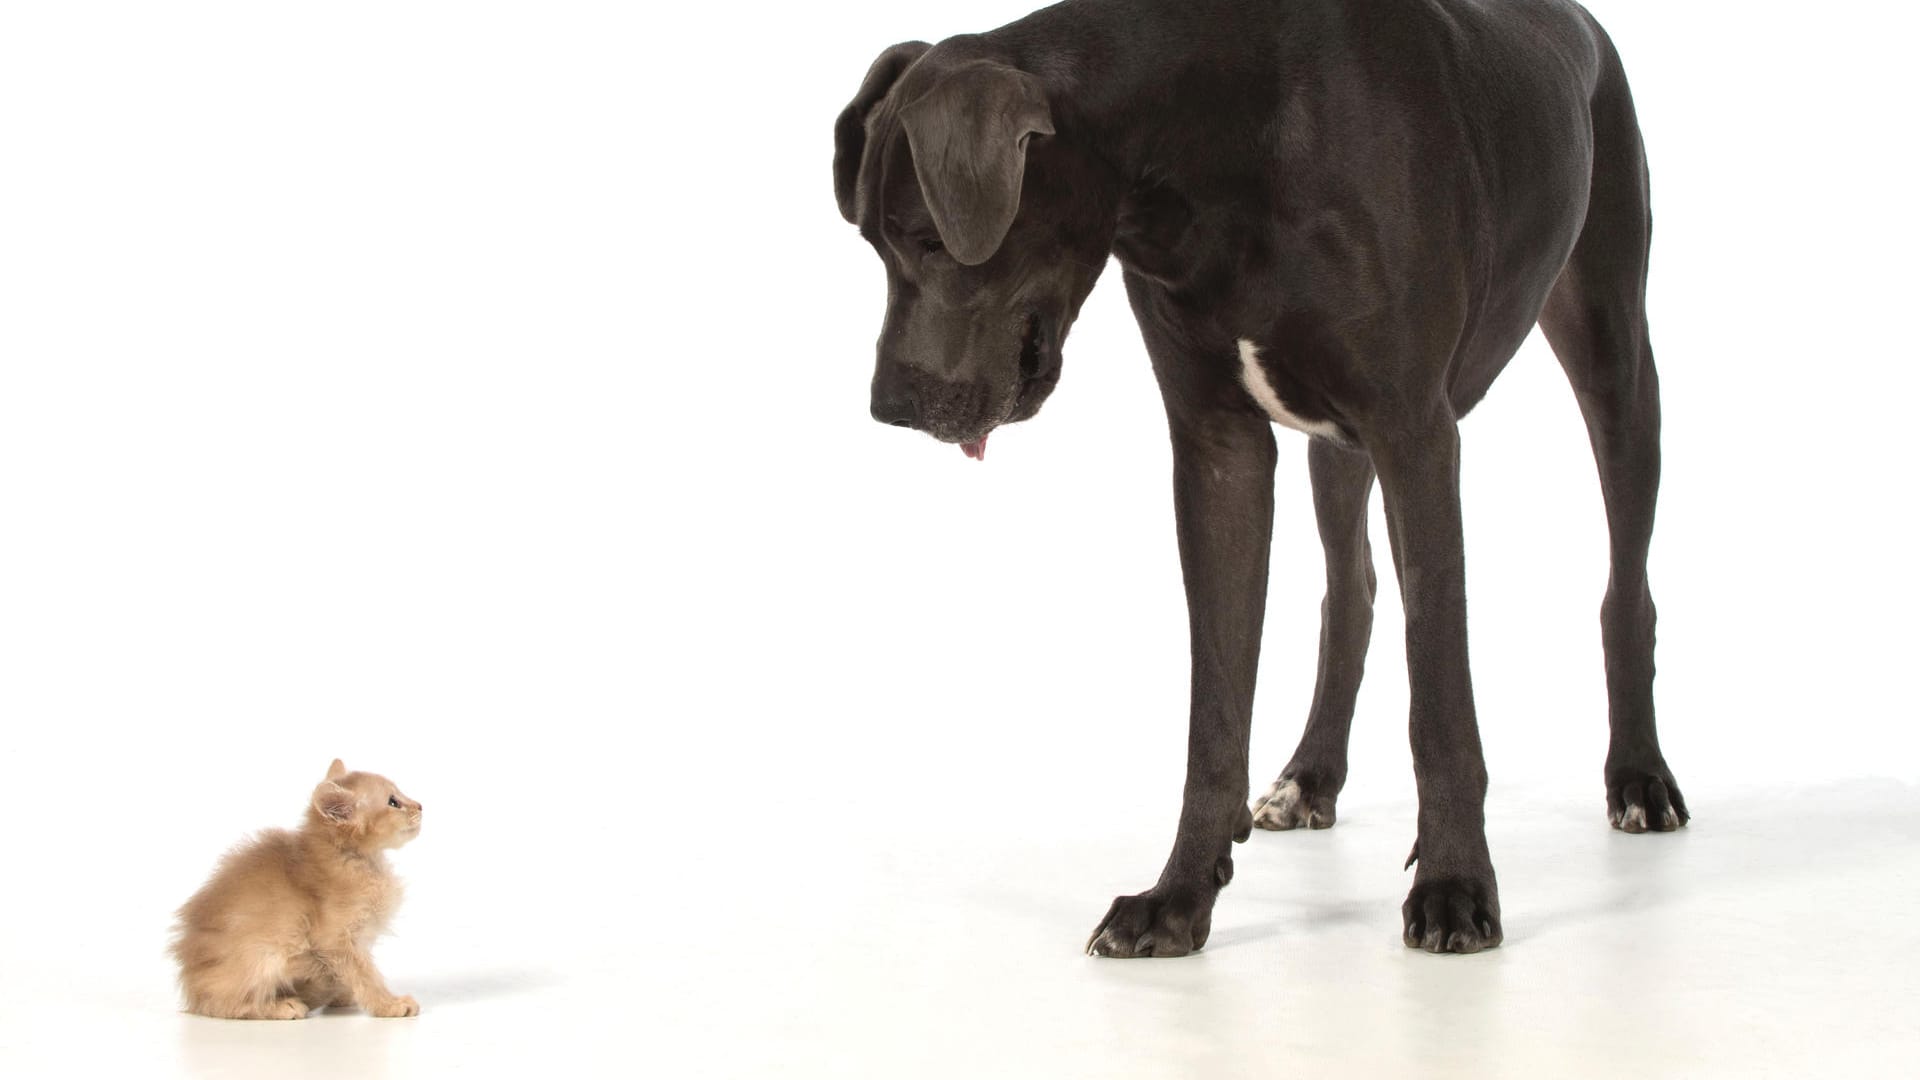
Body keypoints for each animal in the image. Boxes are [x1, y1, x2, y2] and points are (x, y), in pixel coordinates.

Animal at [171, 757, 424, 1014]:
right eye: (393, 802)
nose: (420, 806)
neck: (355, 858)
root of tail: (191, 986)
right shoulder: (336, 940)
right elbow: (366, 975)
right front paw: (390, 1005)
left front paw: (344, 996)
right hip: (265, 954)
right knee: (226, 1003)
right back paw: (283, 1007)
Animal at [833, 0, 1689, 957]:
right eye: (870, 238)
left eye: (925, 238)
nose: (888, 406)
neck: (1222, 137)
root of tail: (1583, 22)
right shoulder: (1220, 448)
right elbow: (1215, 708)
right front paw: (1176, 897)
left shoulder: (1416, 432)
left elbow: (1439, 688)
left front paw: (1455, 886)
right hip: (1337, 446)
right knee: (1351, 594)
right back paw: (1311, 775)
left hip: (1616, 361)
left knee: (1625, 587)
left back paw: (1639, 777)